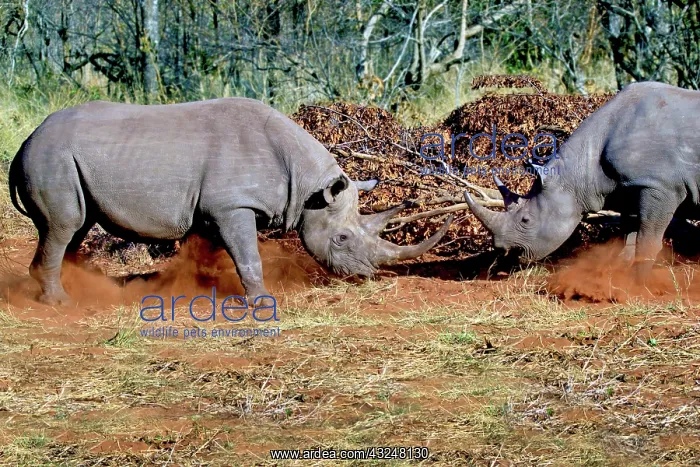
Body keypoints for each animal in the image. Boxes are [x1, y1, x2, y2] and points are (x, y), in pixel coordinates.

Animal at [9, 98, 452, 305]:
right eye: (342, 239)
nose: (365, 275)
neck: (308, 185)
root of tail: (27, 140)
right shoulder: (232, 206)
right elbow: (248, 255)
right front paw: (261, 301)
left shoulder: (212, 209)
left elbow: (208, 252)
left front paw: (194, 286)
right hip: (51, 157)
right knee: (64, 226)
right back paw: (60, 302)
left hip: (63, 160)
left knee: (75, 227)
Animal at [464, 81, 700, 277]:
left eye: (526, 220)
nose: (501, 248)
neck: (580, 170)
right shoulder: (631, 187)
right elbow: (628, 237)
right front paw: (619, 280)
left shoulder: (660, 186)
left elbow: (647, 240)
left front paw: (638, 285)